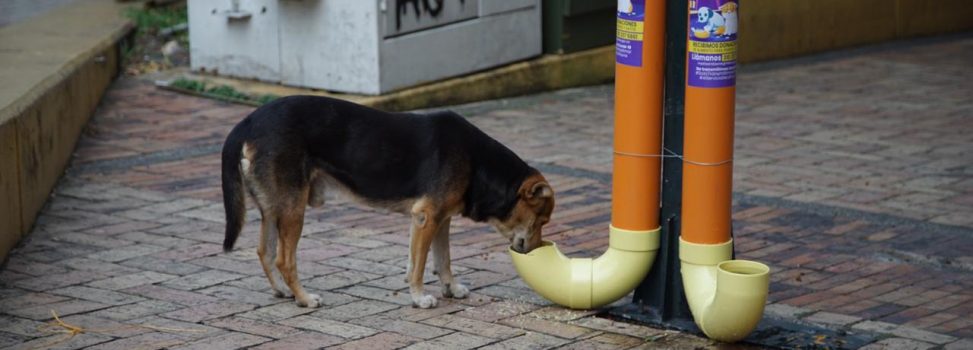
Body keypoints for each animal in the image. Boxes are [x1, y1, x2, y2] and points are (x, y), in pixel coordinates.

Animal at [222, 94, 556, 308]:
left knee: (264, 252)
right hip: (293, 208)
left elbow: (442, 260)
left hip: (273, 208)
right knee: (283, 259)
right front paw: (419, 297)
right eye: (542, 220)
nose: (539, 249)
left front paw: (450, 288)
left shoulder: (441, 220)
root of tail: (248, 121)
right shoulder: (426, 218)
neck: (477, 162)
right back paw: (304, 299)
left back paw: (283, 292)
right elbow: (419, 265)